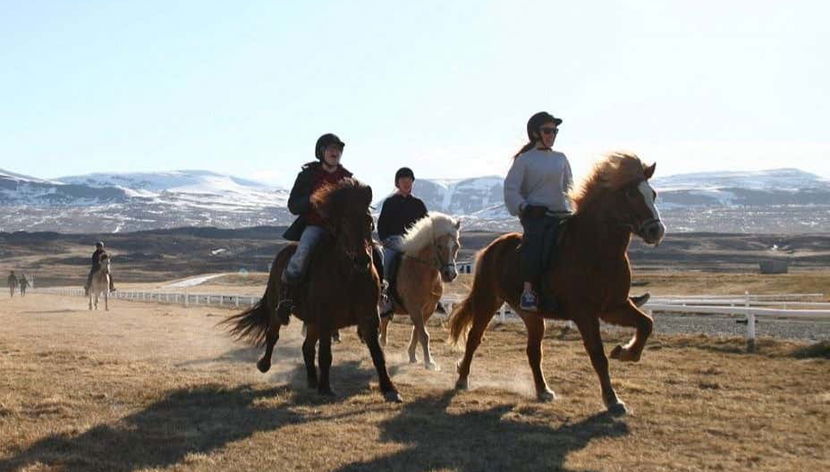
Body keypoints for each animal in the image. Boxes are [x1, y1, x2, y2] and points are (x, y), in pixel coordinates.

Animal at [224, 178, 401, 402]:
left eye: (369, 221)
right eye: (343, 222)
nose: (362, 261)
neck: (348, 276)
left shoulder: (368, 318)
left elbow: (378, 354)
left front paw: (390, 389)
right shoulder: (326, 319)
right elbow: (325, 355)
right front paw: (326, 388)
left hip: (312, 321)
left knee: (306, 348)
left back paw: (312, 380)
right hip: (279, 310)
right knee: (273, 335)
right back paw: (265, 364)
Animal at [379, 212, 461, 370]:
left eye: (456, 246)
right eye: (439, 246)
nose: (450, 274)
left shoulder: (428, 309)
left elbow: (417, 332)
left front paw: (412, 356)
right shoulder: (414, 308)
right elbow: (423, 334)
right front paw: (429, 362)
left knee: (384, 321)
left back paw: (382, 342)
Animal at [448, 152, 666, 415]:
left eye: (652, 194)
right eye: (631, 194)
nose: (656, 230)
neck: (598, 250)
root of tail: (491, 248)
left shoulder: (613, 307)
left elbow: (646, 324)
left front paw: (625, 353)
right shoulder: (585, 313)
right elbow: (598, 355)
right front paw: (613, 400)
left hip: (531, 315)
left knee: (533, 351)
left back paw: (543, 390)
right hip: (488, 301)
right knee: (473, 339)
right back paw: (462, 379)